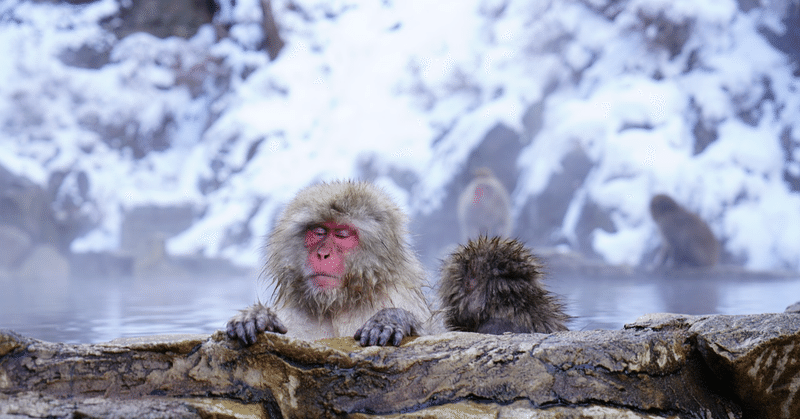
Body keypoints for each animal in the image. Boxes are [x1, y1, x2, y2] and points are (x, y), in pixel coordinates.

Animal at [225, 180, 432, 348]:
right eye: (319, 231)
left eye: (341, 234)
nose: (323, 254)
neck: (336, 305)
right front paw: (257, 316)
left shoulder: (401, 297)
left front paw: (391, 319)